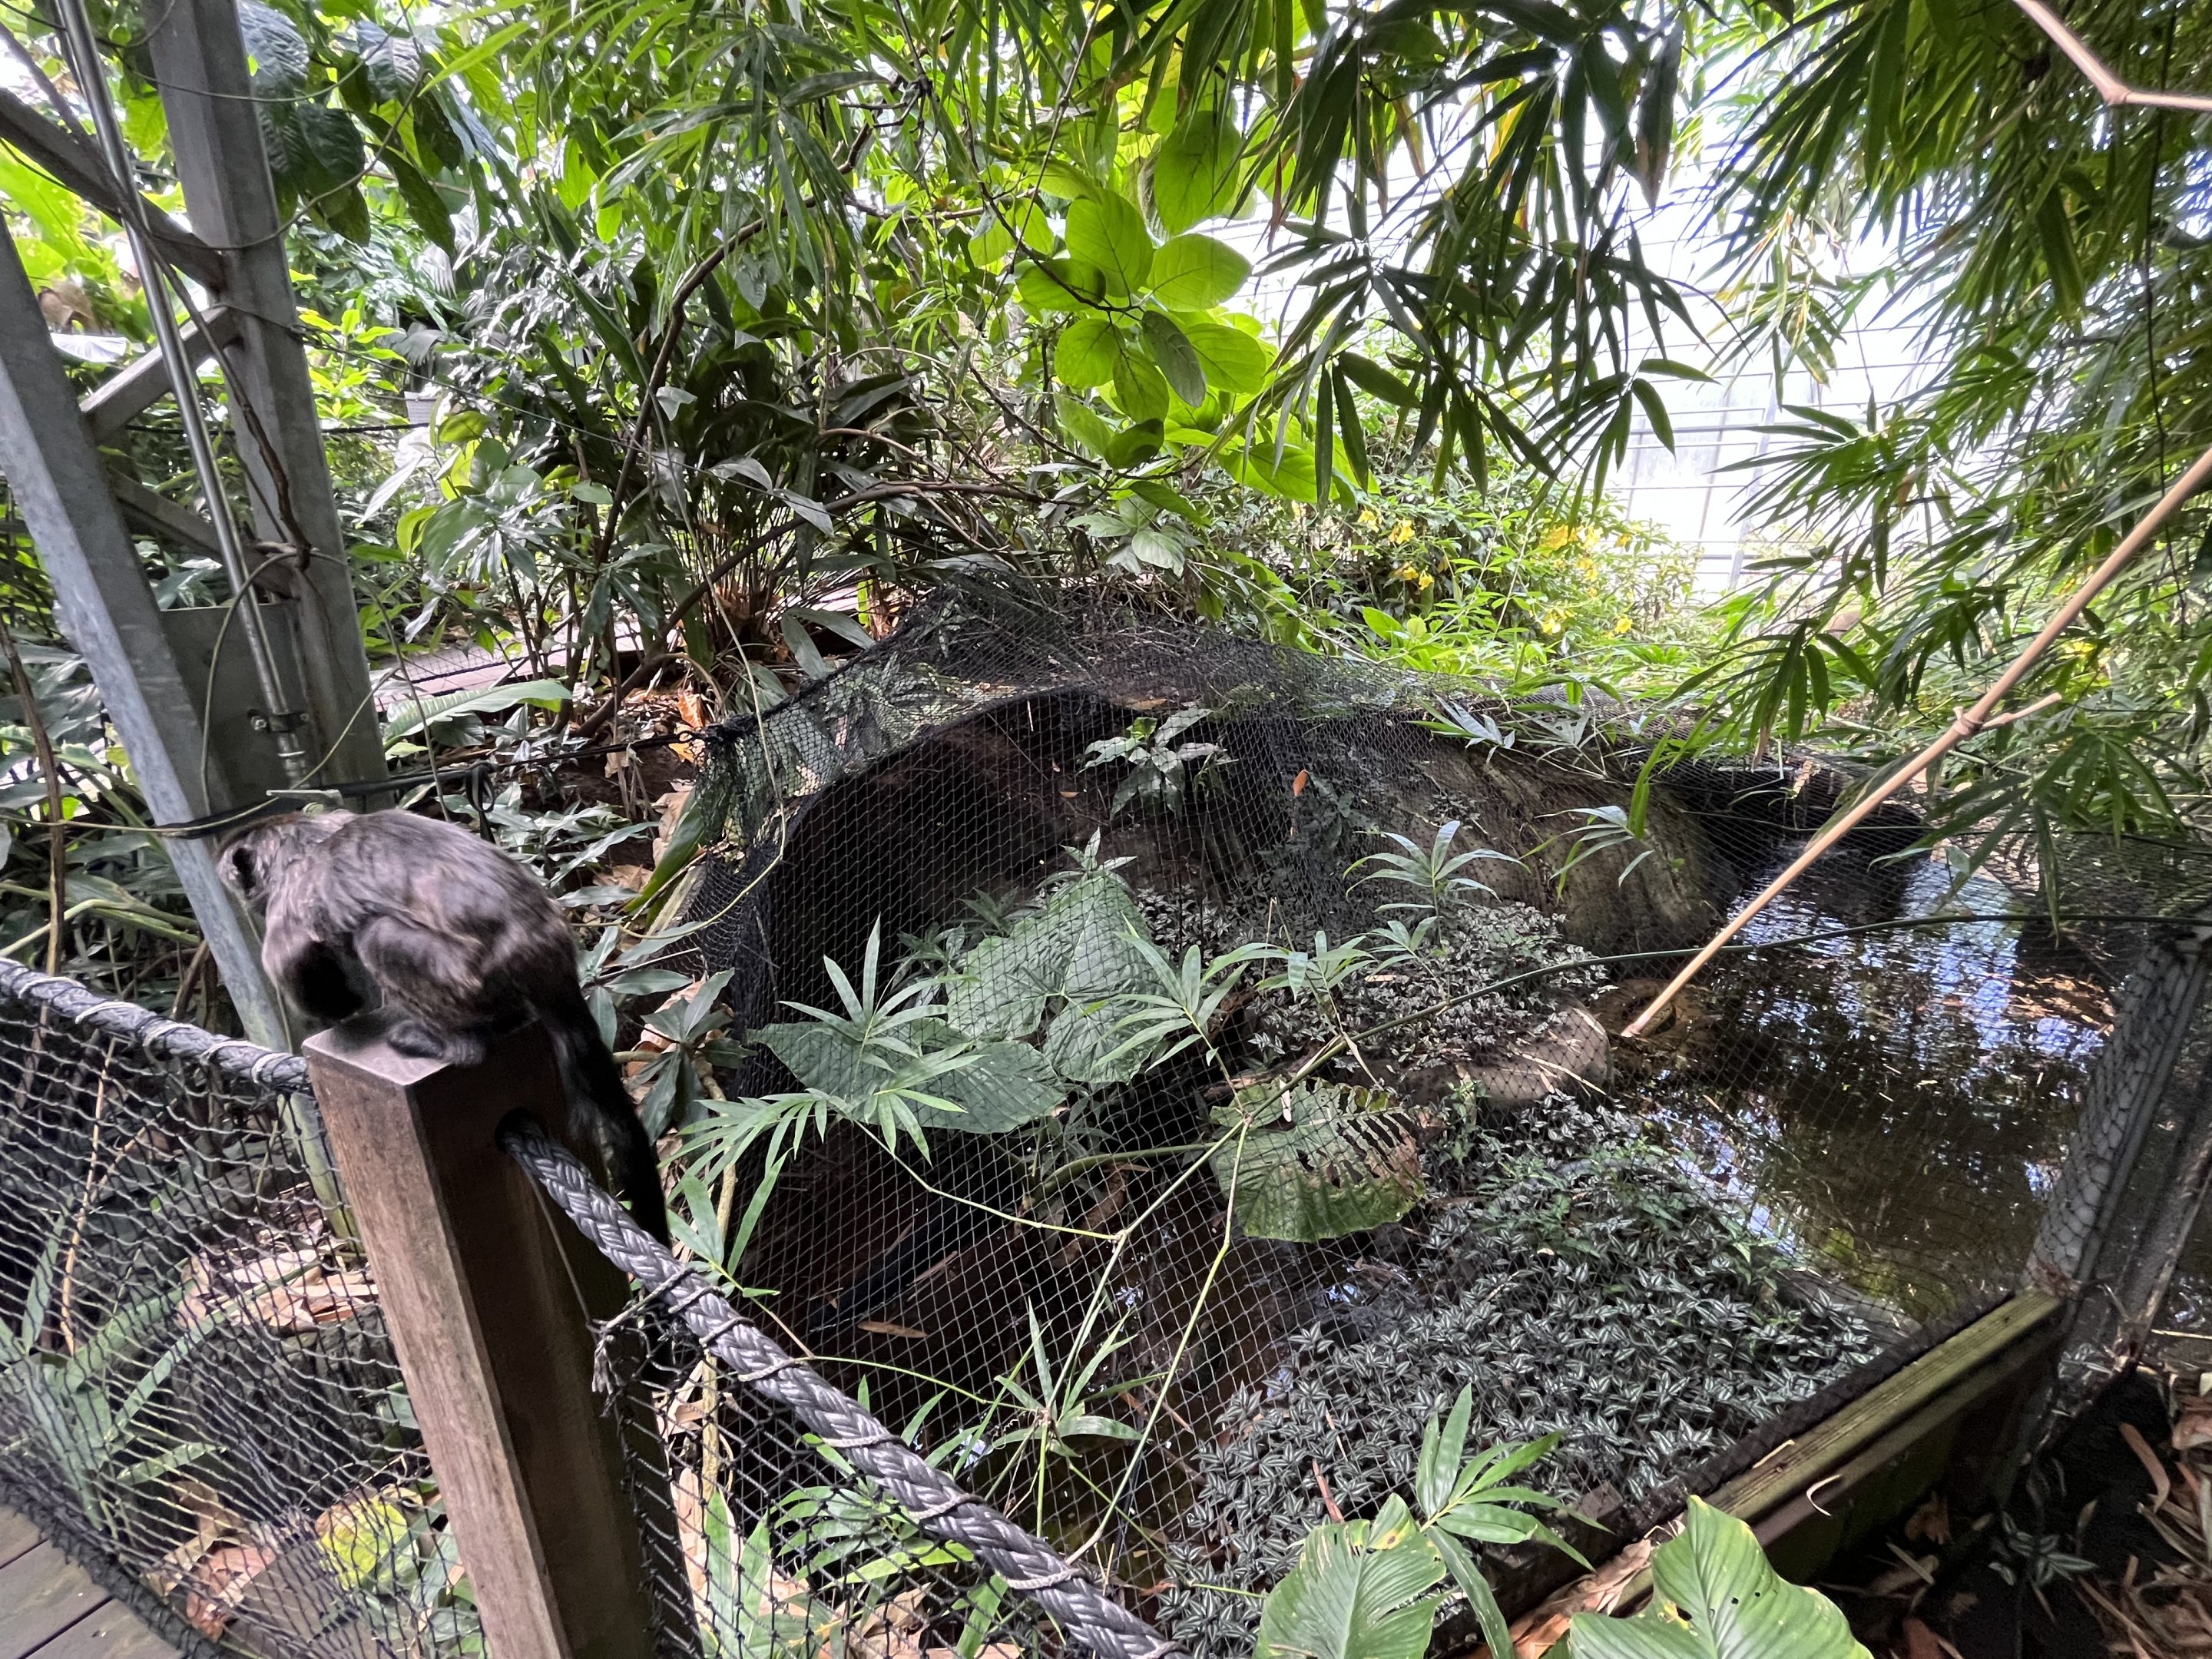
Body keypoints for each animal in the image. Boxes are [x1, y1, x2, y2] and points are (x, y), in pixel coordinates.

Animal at [219, 809, 670, 1244]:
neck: (304, 837)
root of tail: (541, 951)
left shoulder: (289, 897)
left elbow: (296, 964)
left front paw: (342, 1008)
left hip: (461, 977)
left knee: (377, 934)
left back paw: (449, 1045)